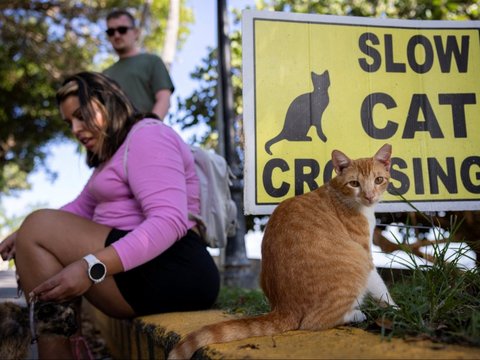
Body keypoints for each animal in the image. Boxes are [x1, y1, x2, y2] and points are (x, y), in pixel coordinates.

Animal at [169, 144, 398, 360]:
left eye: (378, 180)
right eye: (354, 184)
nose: (369, 196)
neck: (343, 196)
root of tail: (284, 307)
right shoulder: (365, 254)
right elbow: (380, 287)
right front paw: (395, 309)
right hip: (355, 262)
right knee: (313, 322)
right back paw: (356, 315)